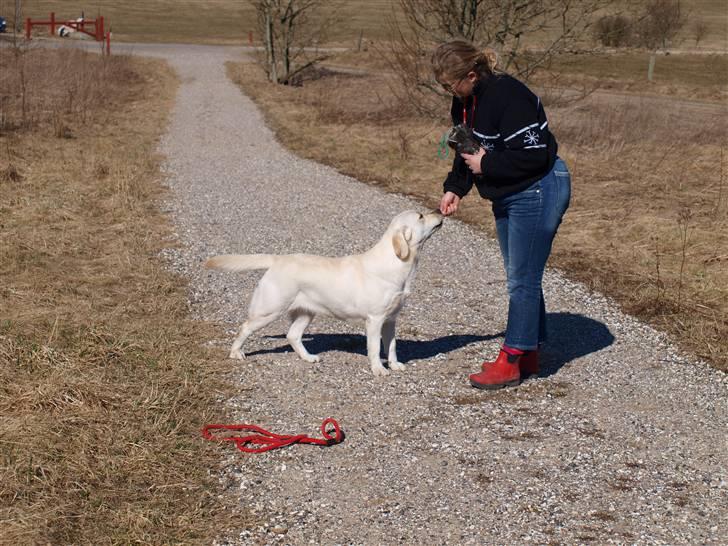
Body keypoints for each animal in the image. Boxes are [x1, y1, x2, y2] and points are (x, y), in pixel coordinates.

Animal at [205, 208, 444, 374]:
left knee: (293, 335)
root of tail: (278, 259)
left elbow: (392, 346)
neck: (398, 263)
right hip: (269, 310)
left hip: (306, 312)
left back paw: (309, 357)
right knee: (245, 328)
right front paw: (379, 369)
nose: (440, 211)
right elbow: (376, 348)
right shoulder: (375, 319)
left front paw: (394, 365)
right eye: (421, 216)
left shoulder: (391, 319)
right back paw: (236, 353)